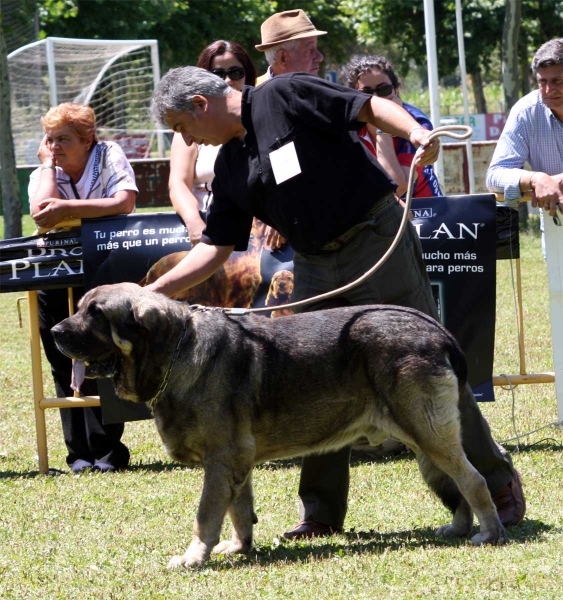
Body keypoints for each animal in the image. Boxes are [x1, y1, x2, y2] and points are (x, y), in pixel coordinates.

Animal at [50, 282, 506, 568]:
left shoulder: (220, 460)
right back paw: (459, 528)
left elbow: (205, 515)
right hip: (424, 440)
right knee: (458, 483)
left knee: (474, 479)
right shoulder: (236, 462)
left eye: (96, 313)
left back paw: (489, 533)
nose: (54, 331)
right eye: (81, 306)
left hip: (429, 433)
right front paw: (240, 547)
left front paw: (194, 557)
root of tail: (437, 329)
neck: (175, 350)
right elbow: (238, 510)